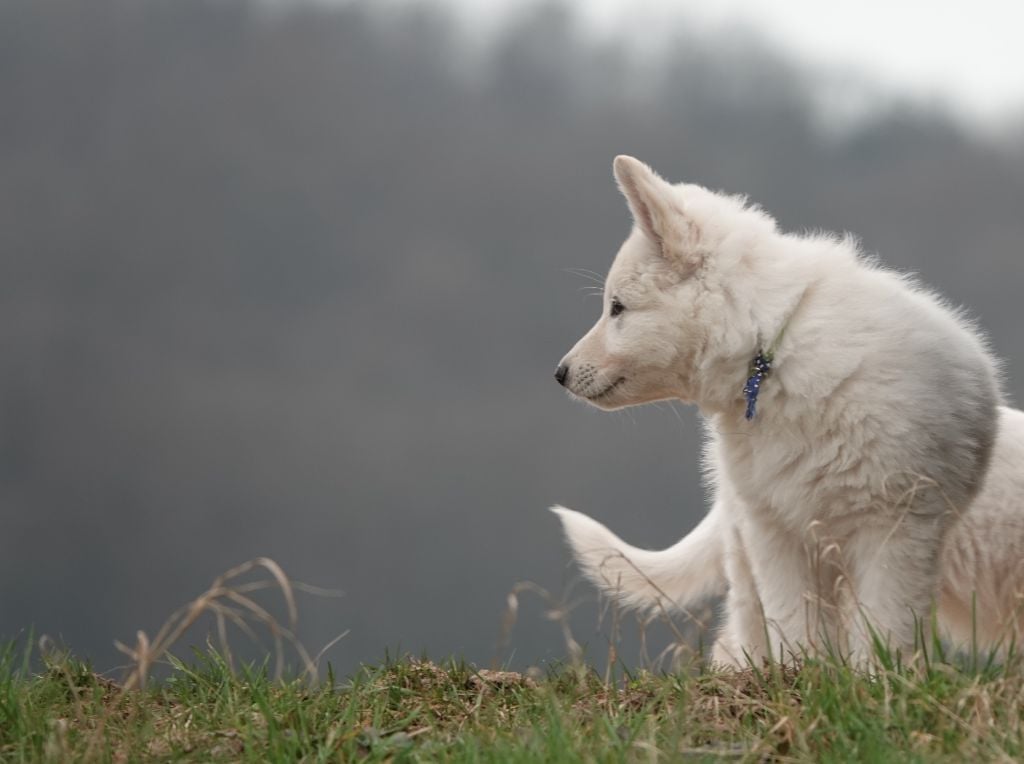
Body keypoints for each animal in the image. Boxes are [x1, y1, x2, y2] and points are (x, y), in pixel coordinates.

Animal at [552, 156, 1024, 667]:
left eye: (617, 308)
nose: (559, 373)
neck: (773, 352)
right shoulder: (775, 530)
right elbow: (794, 624)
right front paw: (800, 675)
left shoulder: (893, 532)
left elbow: (881, 630)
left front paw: (873, 679)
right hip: (747, 549)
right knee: (743, 633)